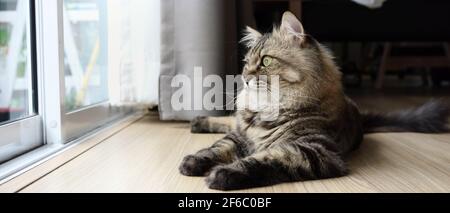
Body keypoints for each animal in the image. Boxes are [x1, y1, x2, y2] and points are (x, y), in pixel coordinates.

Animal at [178, 11, 448, 191]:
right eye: (246, 63)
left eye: (265, 61)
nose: (244, 78)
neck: (269, 111)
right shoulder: (239, 136)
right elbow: (216, 148)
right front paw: (192, 162)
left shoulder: (314, 150)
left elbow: (262, 160)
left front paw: (223, 174)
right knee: (228, 120)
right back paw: (198, 121)